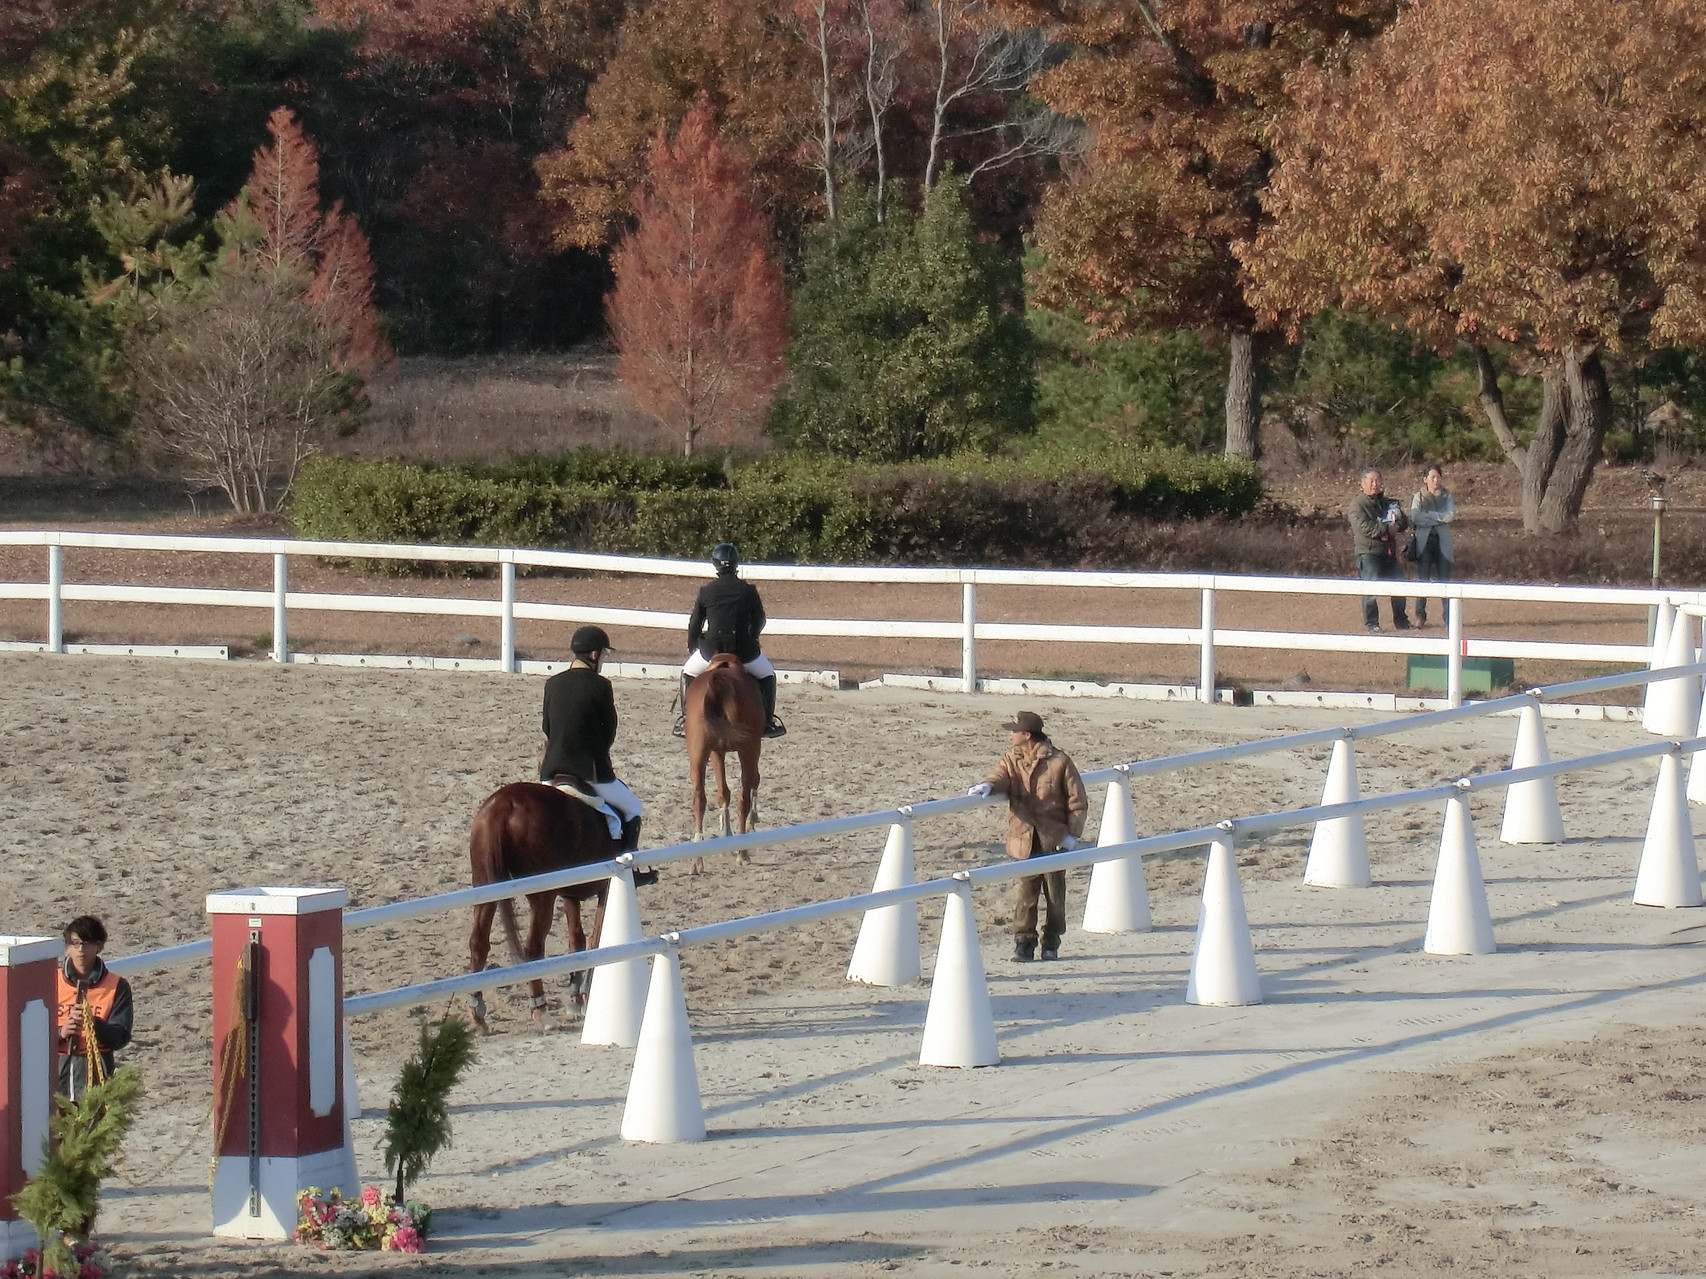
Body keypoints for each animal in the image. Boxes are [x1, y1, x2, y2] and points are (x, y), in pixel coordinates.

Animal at [467, 781, 627, 1030]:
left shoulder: (571, 894)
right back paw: (540, 1010)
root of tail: (503, 804)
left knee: (479, 942)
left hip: (485, 887)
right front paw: (585, 997)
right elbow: (596, 938)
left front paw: (576, 1000)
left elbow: (576, 941)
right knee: (533, 947)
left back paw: (478, 1014)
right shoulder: (607, 887)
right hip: (542, 895)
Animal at [682, 654, 764, 879]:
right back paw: (743, 853)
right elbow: (752, 783)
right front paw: (751, 821)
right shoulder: (750, 747)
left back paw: (696, 861)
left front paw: (726, 833)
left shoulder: (716, 751)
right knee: (743, 798)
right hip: (748, 747)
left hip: (698, 751)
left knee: (699, 800)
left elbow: (722, 793)